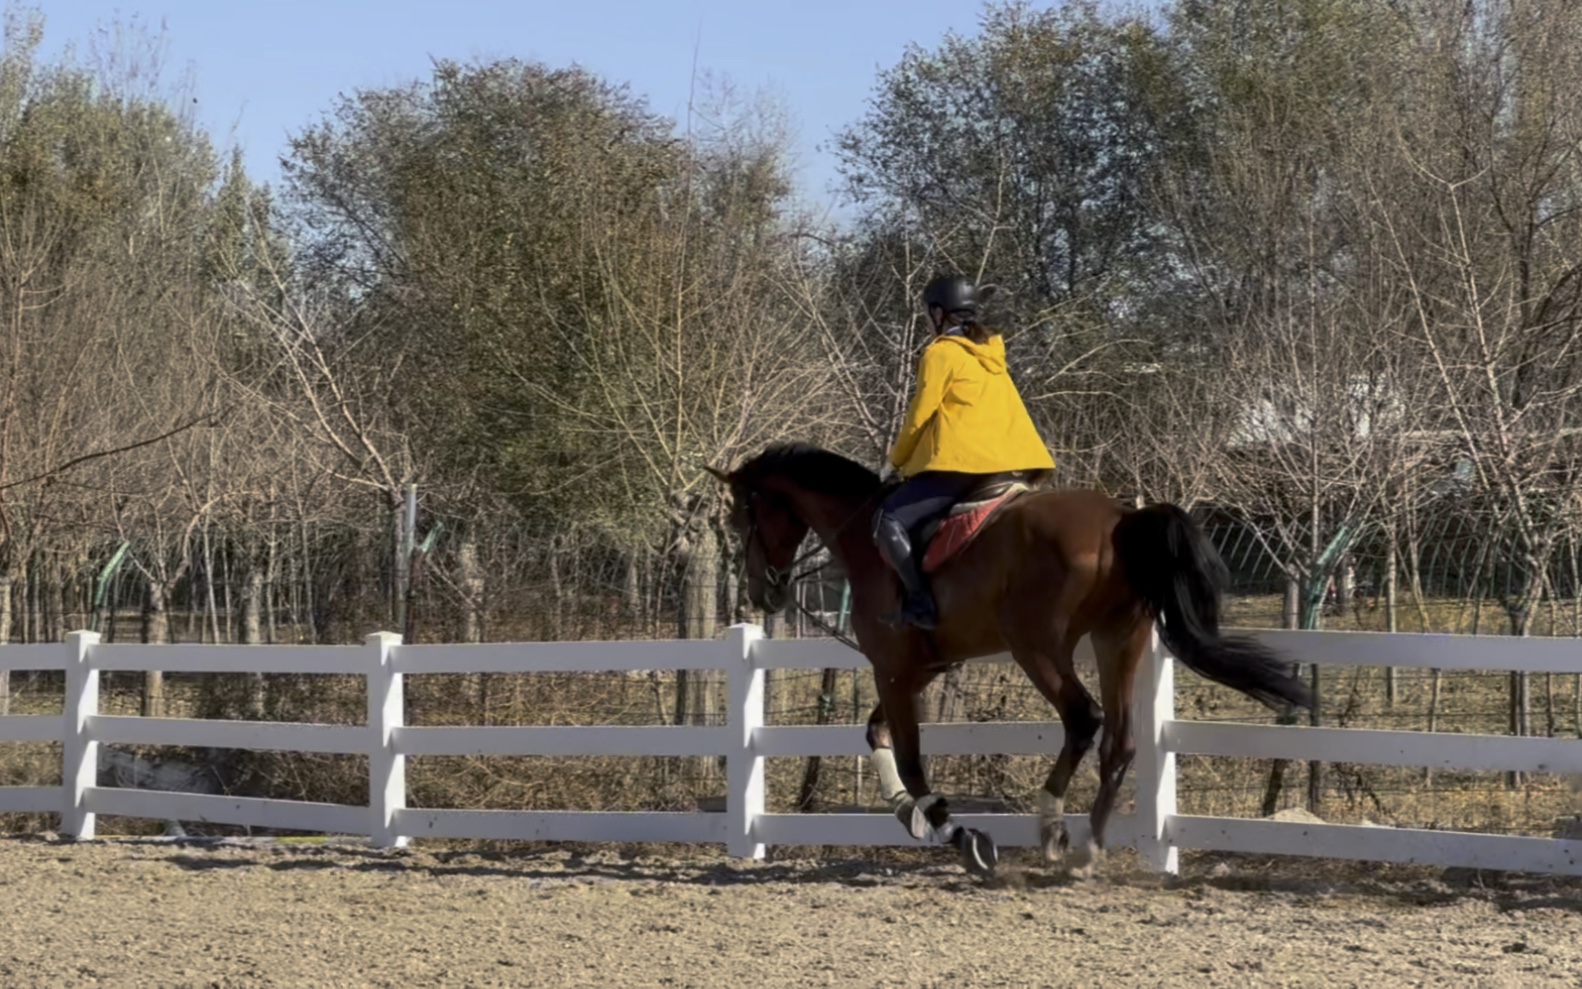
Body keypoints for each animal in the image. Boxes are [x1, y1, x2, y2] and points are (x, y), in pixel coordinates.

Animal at [711, 443, 1316, 873]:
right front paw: (910, 813)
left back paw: (1051, 827)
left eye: (741, 517)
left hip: (1038, 647)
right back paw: (1087, 850)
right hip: (1116, 639)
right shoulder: (917, 671)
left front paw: (956, 833)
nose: (763, 592)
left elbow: (908, 755)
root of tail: (1121, 518)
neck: (863, 536)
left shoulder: (893, 670)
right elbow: (877, 734)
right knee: (1119, 740)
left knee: (1084, 719)